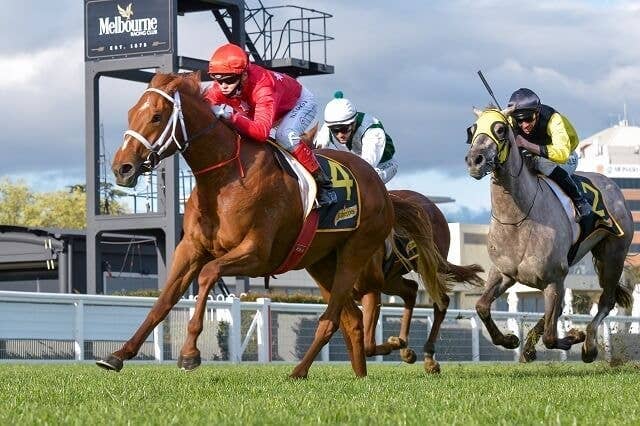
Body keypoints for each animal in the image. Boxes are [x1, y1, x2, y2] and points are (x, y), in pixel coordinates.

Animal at [98, 71, 448, 378]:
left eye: (157, 117)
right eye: (131, 113)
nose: (122, 168)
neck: (224, 177)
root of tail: (379, 186)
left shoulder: (257, 254)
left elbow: (208, 275)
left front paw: (189, 353)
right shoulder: (191, 248)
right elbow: (163, 301)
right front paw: (119, 355)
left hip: (355, 254)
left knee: (335, 318)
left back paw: (301, 371)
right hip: (321, 262)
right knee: (352, 319)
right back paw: (361, 374)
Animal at [353, 189, 484, 373]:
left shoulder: (371, 288)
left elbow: (367, 346)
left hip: (427, 263)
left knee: (441, 301)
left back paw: (427, 357)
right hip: (390, 279)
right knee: (411, 290)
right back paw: (405, 348)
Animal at [464, 106, 633, 362]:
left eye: (500, 129)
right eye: (472, 130)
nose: (475, 160)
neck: (518, 220)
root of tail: (613, 186)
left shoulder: (554, 278)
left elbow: (551, 337)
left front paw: (574, 336)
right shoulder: (503, 273)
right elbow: (482, 307)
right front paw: (510, 340)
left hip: (613, 254)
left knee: (606, 300)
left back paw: (589, 346)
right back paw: (529, 348)